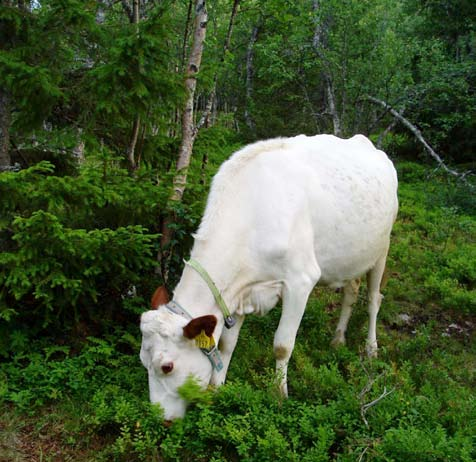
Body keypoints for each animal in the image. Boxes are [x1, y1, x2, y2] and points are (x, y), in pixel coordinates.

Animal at [140, 135, 398, 420]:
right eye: (143, 362)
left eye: (167, 366)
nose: (159, 420)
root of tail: (365, 142)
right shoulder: (239, 292)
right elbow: (227, 344)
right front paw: (218, 390)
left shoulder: (300, 281)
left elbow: (282, 345)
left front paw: (278, 396)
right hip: (352, 257)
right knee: (351, 291)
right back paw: (338, 339)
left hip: (382, 249)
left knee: (373, 300)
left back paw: (371, 349)